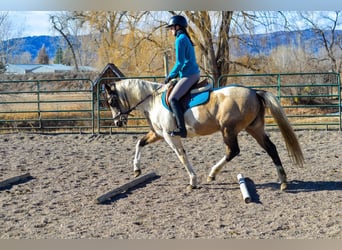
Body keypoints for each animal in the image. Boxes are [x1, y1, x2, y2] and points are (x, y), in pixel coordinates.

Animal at [104, 79, 304, 190]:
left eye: (112, 101)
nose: (117, 122)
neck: (152, 100)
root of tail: (254, 92)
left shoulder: (170, 136)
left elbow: (181, 156)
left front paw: (193, 181)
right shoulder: (158, 134)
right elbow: (139, 143)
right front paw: (137, 169)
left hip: (228, 130)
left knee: (233, 151)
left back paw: (212, 173)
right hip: (254, 128)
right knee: (270, 148)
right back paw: (283, 181)